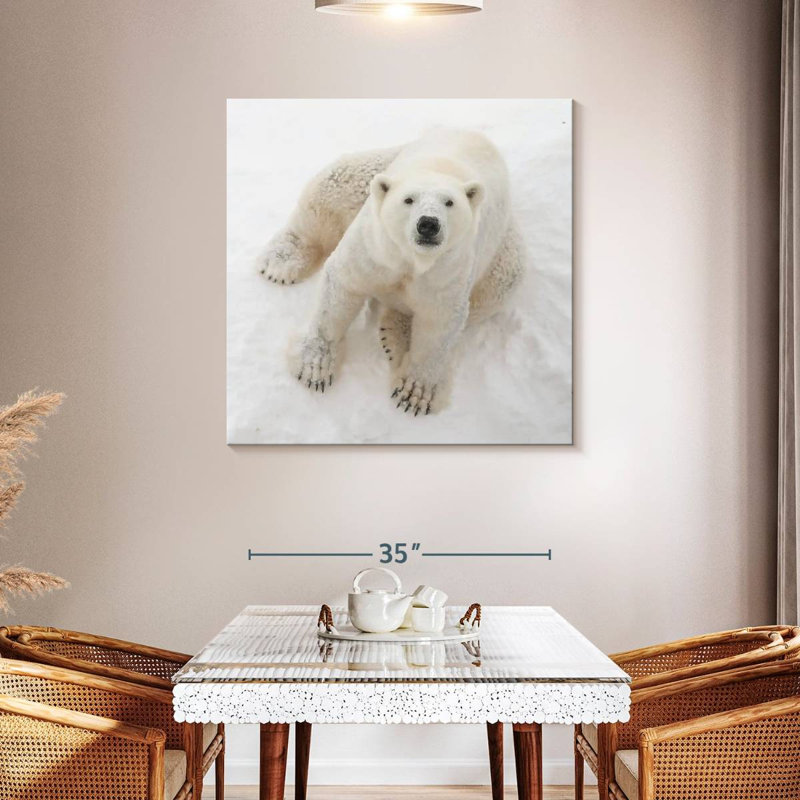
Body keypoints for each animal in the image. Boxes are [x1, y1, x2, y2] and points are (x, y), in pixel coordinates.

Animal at [261, 128, 525, 416]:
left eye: (450, 202)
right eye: (408, 199)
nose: (428, 224)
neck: (411, 259)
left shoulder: (448, 270)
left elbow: (440, 321)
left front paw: (416, 393)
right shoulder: (374, 245)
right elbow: (342, 284)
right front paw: (315, 368)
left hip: (500, 255)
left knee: (500, 286)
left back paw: (397, 335)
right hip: (376, 172)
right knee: (335, 184)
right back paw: (281, 262)